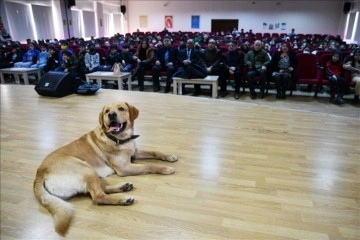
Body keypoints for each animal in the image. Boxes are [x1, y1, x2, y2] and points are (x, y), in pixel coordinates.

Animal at [34, 101, 178, 236]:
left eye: (121, 108)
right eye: (107, 111)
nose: (111, 115)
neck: (120, 139)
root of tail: (39, 173)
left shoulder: (134, 153)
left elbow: (154, 152)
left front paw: (169, 156)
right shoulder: (124, 168)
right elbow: (149, 165)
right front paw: (165, 168)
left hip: (90, 173)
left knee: (100, 189)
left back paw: (124, 187)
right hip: (85, 168)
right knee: (98, 196)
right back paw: (123, 199)